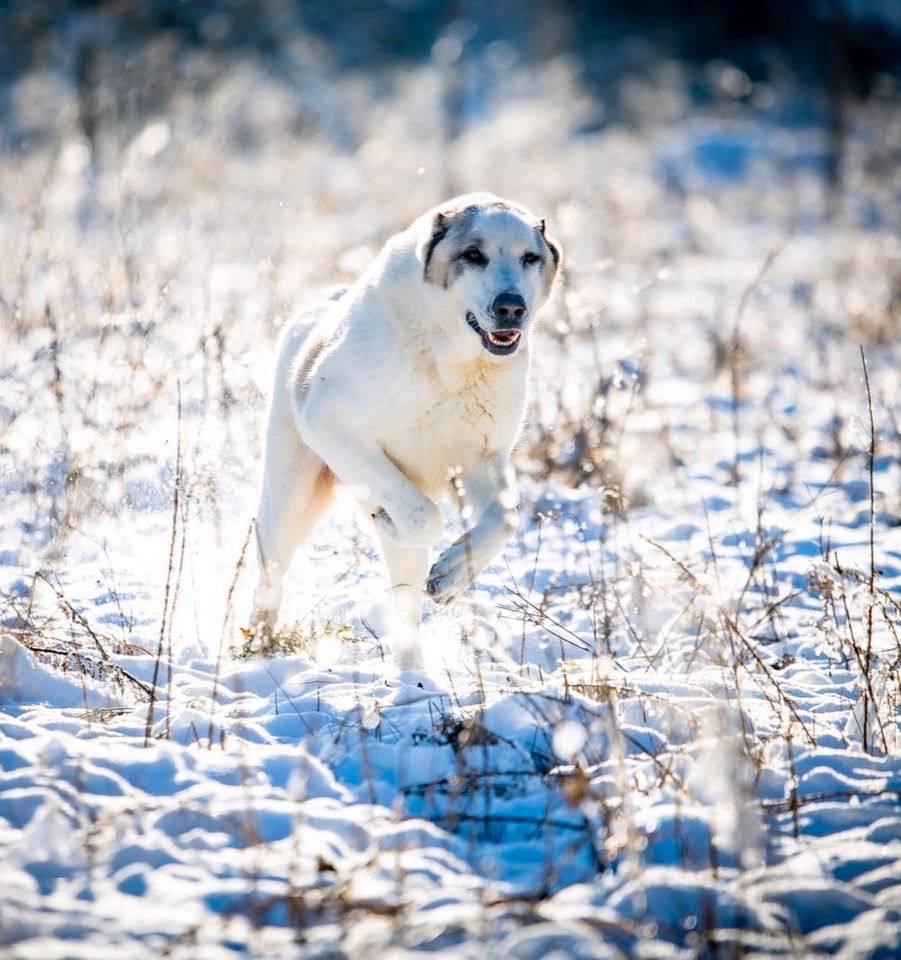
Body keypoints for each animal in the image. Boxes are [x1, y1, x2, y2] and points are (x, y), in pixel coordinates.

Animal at [253, 191, 560, 664]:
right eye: (473, 255)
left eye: (530, 257)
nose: (511, 307)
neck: (452, 361)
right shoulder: (331, 422)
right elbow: (422, 516)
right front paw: (392, 521)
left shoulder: (480, 458)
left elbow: (505, 517)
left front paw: (452, 574)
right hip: (289, 499)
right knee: (271, 573)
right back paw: (254, 643)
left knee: (406, 604)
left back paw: (411, 670)